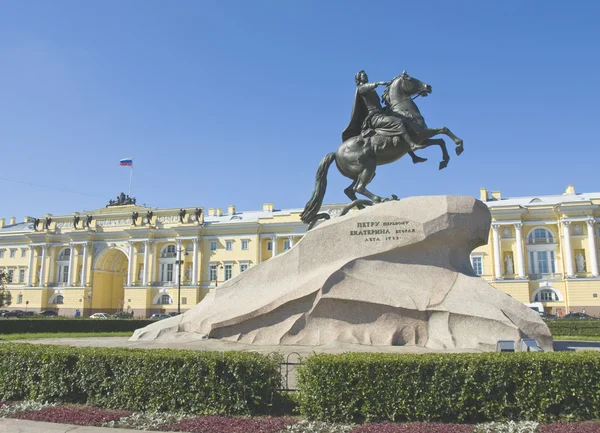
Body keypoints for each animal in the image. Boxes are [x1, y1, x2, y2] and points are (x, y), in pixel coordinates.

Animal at [300, 71, 464, 228]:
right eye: (410, 79)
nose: (428, 87)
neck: (404, 111)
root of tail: (336, 153)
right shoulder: (421, 135)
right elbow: (443, 130)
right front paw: (458, 146)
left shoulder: (423, 138)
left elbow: (441, 141)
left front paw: (444, 160)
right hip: (368, 167)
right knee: (359, 188)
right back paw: (380, 199)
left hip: (362, 172)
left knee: (350, 190)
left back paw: (361, 208)